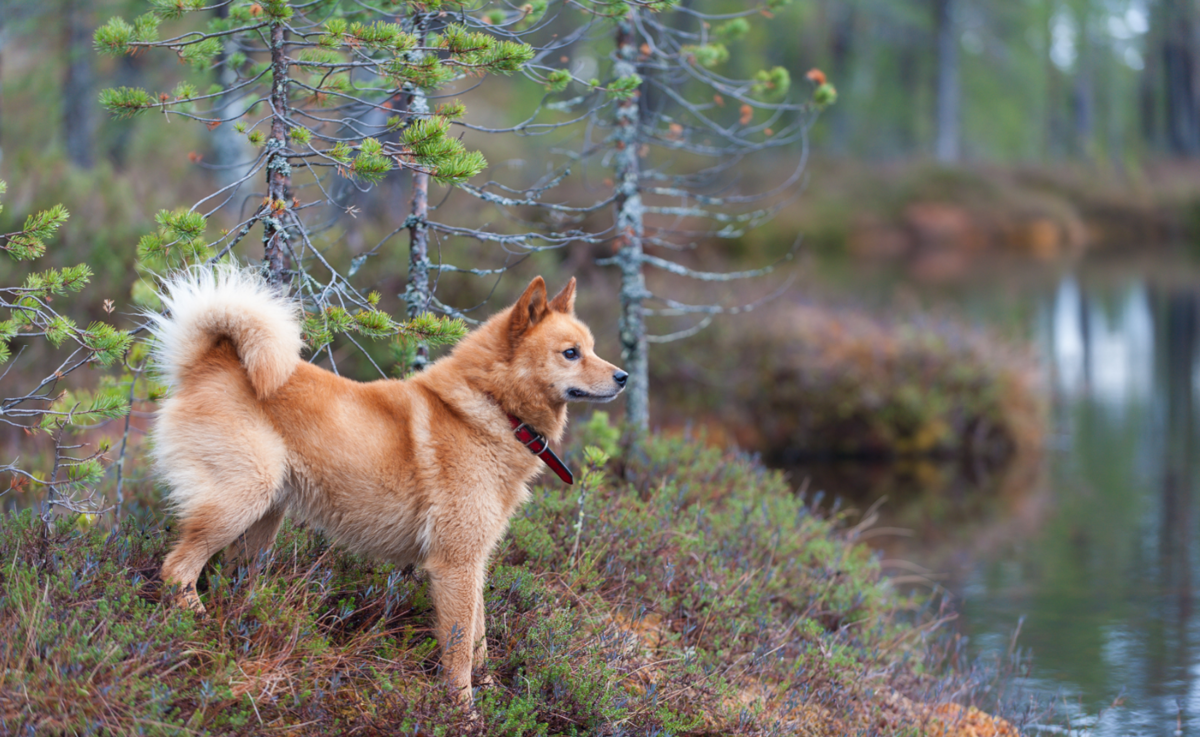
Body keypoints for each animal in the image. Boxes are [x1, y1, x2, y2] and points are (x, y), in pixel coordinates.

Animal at [147, 268, 628, 700]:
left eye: (591, 348)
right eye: (570, 353)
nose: (623, 377)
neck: (493, 407)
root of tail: (210, 362)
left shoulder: (473, 563)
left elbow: (479, 643)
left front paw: (492, 697)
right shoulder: (454, 566)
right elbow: (460, 657)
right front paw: (465, 714)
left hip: (263, 525)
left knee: (231, 583)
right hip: (241, 500)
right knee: (177, 571)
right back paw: (202, 632)